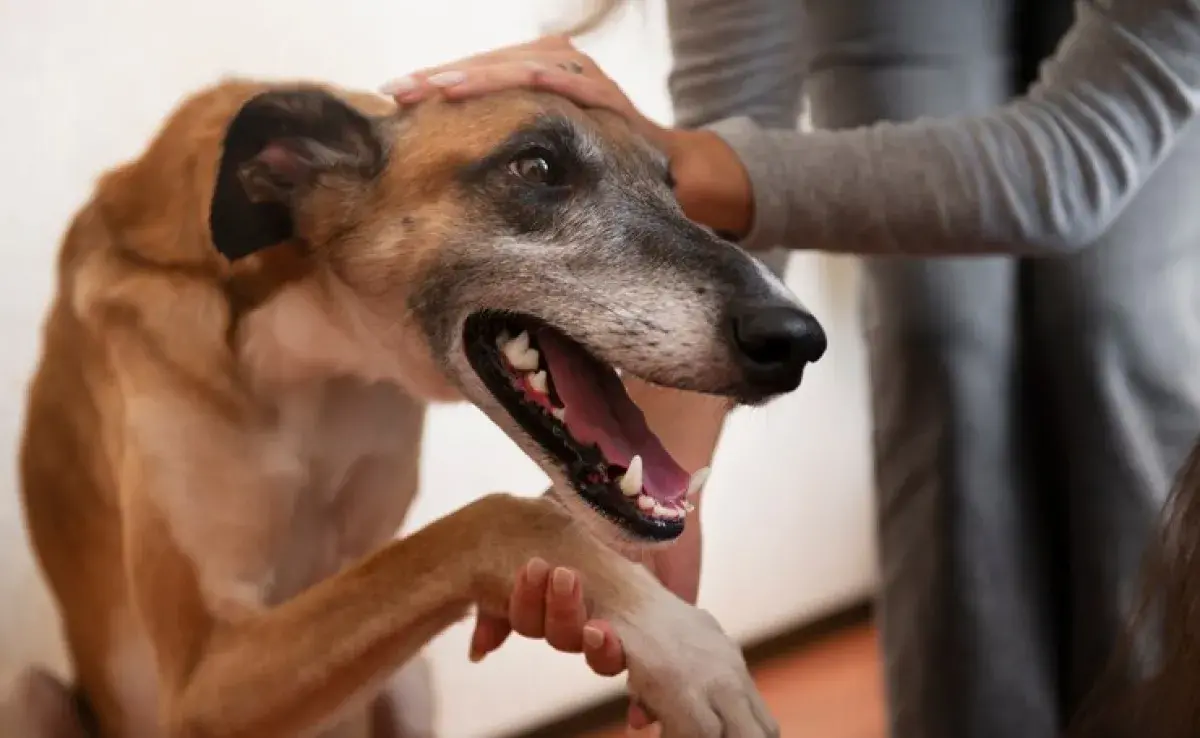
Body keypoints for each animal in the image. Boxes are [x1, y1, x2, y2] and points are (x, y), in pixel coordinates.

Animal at [2, 72, 825, 734]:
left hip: (409, 683)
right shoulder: (203, 675)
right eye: (537, 166)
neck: (314, 360)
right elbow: (491, 519)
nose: (797, 340)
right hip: (29, 692)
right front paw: (692, 656)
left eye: (673, 188)